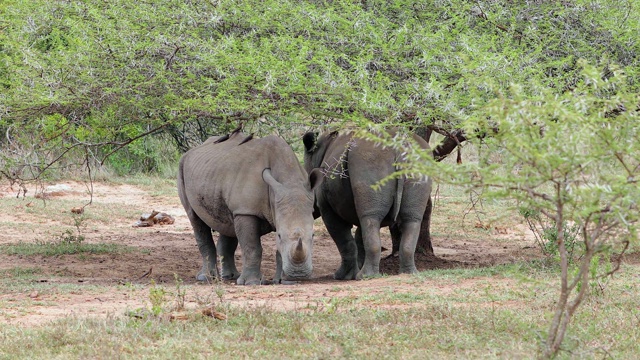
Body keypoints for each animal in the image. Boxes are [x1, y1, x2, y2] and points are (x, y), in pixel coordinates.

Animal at [179, 131, 320, 286]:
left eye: (313, 235)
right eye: (279, 235)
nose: (298, 274)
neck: (288, 179)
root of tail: (193, 150)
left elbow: (278, 250)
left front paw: (281, 281)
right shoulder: (246, 211)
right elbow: (252, 247)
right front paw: (251, 282)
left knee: (227, 223)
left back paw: (230, 276)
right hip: (182, 166)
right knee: (195, 219)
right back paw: (207, 278)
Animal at [302, 131, 432, 280]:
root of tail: (399, 145)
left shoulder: (326, 207)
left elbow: (344, 240)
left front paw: (342, 276)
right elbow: (359, 238)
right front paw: (352, 273)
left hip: (369, 160)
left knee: (370, 218)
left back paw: (365, 276)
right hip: (420, 162)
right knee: (410, 219)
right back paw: (408, 273)